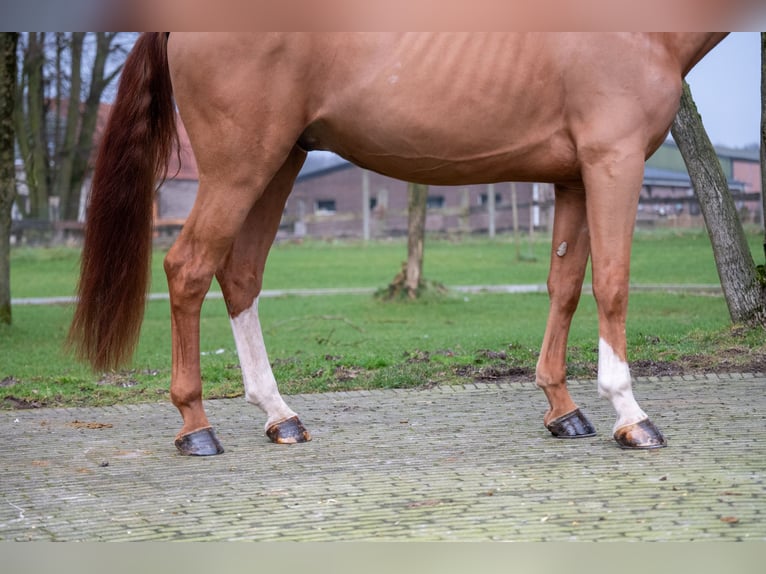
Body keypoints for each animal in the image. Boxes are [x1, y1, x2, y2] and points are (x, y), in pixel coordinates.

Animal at [70, 33, 732, 456]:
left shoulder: (573, 177)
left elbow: (564, 286)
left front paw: (563, 410)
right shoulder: (613, 161)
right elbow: (613, 284)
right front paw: (631, 416)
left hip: (279, 162)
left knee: (241, 276)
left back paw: (281, 417)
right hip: (240, 167)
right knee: (188, 268)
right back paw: (197, 429)